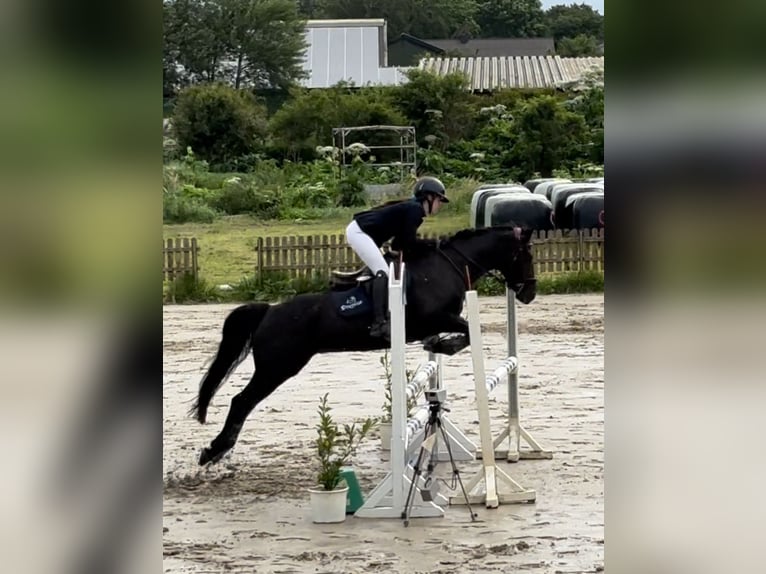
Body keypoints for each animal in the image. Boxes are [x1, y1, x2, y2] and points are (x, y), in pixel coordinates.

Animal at [195, 227, 536, 466]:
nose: (529, 293)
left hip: (277, 367)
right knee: (241, 402)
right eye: (526, 256)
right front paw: (446, 345)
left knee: (242, 402)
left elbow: (460, 334)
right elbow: (467, 331)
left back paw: (218, 450)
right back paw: (214, 451)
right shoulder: (436, 317)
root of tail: (269, 311)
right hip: (277, 368)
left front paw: (439, 344)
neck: (449, 266)